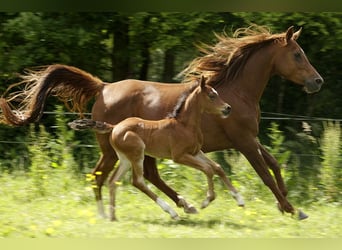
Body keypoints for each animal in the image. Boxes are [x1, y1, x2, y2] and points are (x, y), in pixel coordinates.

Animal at [69, 76, 244, 221]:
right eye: (212, 95)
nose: (228, 108)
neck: (184, 125)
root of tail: (114, 127)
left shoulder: (195, 152)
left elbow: (217, 167)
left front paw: (239, 200)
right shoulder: (179, 156)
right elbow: (208, 169)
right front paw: (207, 201)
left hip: (125, 159)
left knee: (113, 181)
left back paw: (112, 216)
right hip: (137, 153)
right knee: (137, 181)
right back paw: (172, 212)